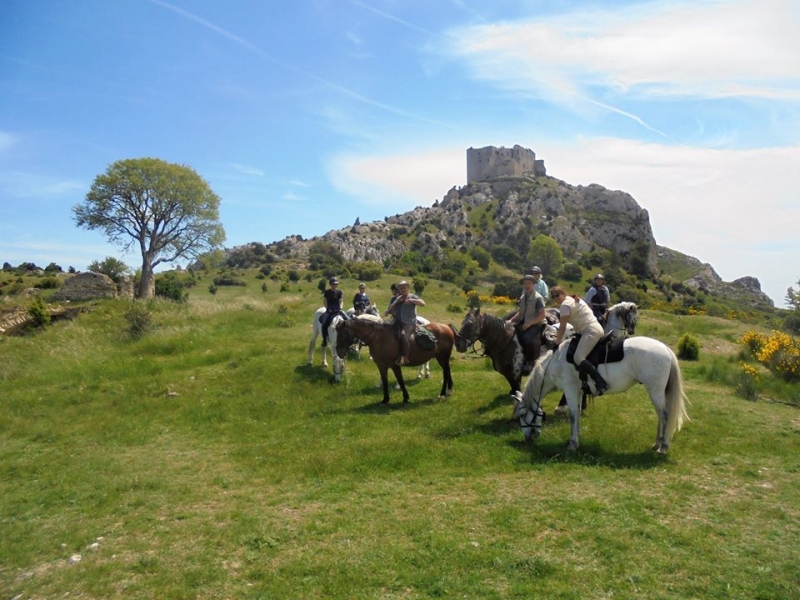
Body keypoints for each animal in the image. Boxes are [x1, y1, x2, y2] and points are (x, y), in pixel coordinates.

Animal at [512, 336, 688, 452]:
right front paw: (577, 436)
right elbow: (576, 416)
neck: (555, 363)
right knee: (661, 416)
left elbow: (573, 416)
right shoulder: (578, 392)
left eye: (521, 415)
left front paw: (572, 444)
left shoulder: (570, 390)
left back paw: (663, 446)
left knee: (664, 416)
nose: (528, 437)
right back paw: (657, 443)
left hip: (655, 391)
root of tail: (666, 349)